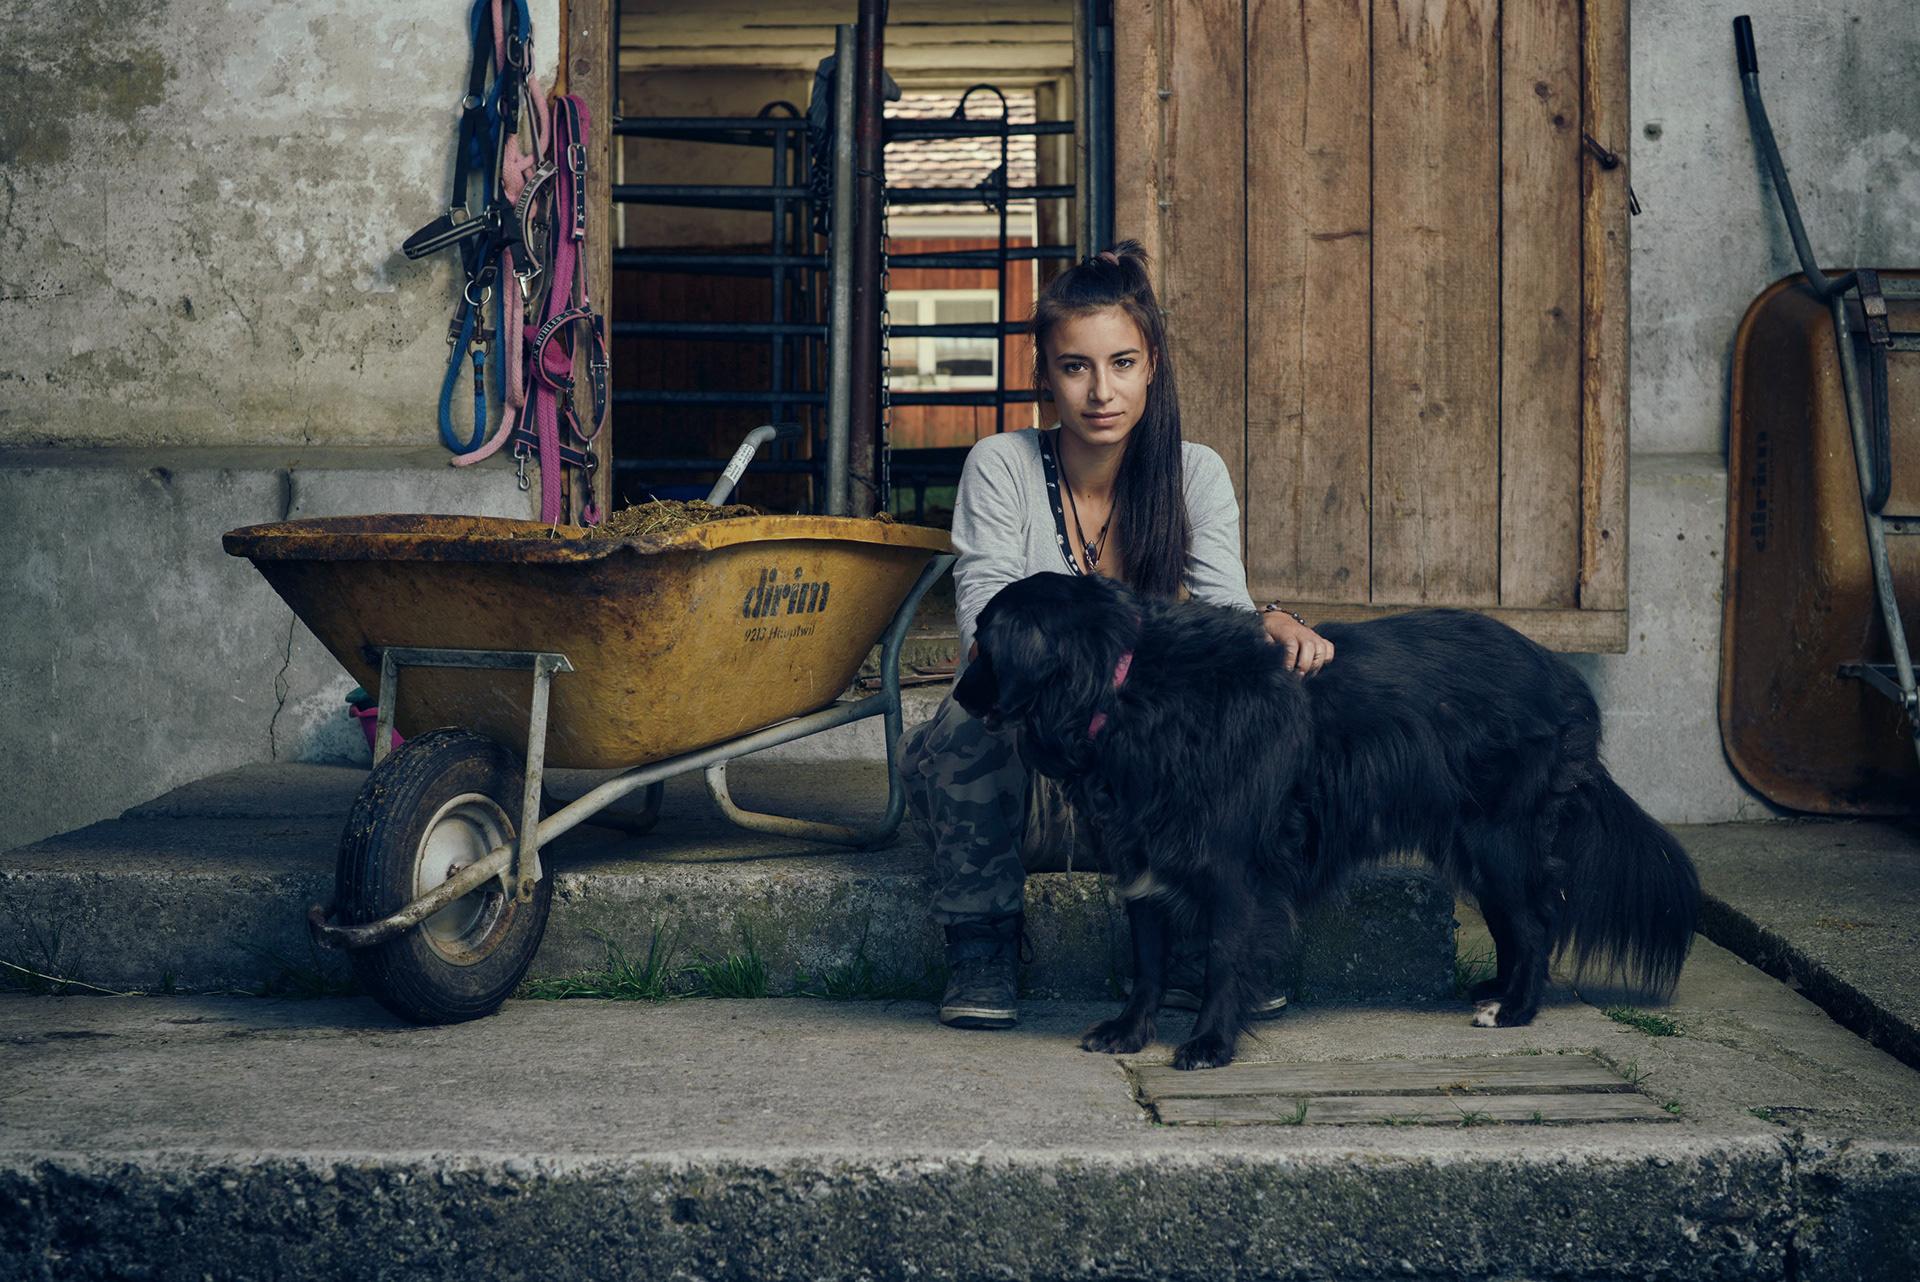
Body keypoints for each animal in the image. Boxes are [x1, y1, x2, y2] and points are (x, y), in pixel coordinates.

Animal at [956, 571, 1697, 1074]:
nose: (958, 696)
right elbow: (1148, 961)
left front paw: (1208, 1043)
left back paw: (1514, 1011)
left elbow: (1223, 958)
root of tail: (1562, 674)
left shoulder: (1234, 869)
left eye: (983, 648)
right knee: (1512, 923)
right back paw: (1494, 989)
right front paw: (1129, 1032)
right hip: (1470, 843)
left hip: (1500, 839)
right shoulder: (1145, 861)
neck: (1127, 684)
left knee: (1539, 922)